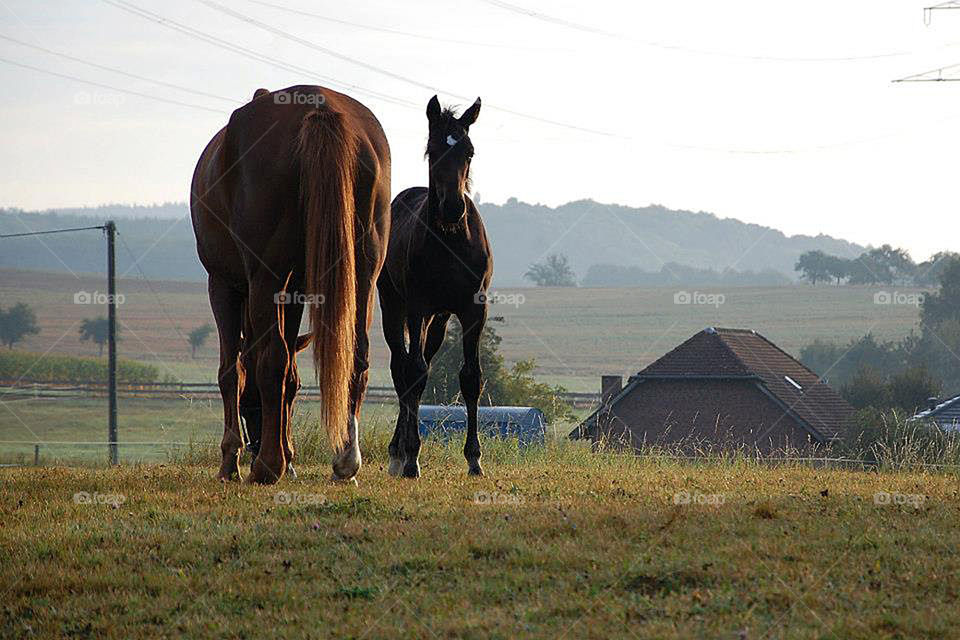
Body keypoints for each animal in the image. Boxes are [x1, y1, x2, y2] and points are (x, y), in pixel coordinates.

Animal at [191, 85, 391, 485]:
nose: (254, 443)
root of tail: (319, 107)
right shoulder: (295, 287)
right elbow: (291, 378)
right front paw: (289, 455)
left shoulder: (223, 285)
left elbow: (231, 371)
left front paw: (230, 461)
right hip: (365, 270)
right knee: (356, 356)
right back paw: (344, 461)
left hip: (264, 275)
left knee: (272, 359)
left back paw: (267, 466)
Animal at [377, 95, 491, 478]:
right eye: (433, 149)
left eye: (469, 151)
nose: (453, 207)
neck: (451, 240)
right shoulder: (417, 307)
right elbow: (414, 373)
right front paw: (411, 456)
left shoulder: (474, 309)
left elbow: (471, 377)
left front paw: (474, 458)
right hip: (394, 307)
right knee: (403, 369)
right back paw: (398, 454)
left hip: (439, 320)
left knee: (419, 364)